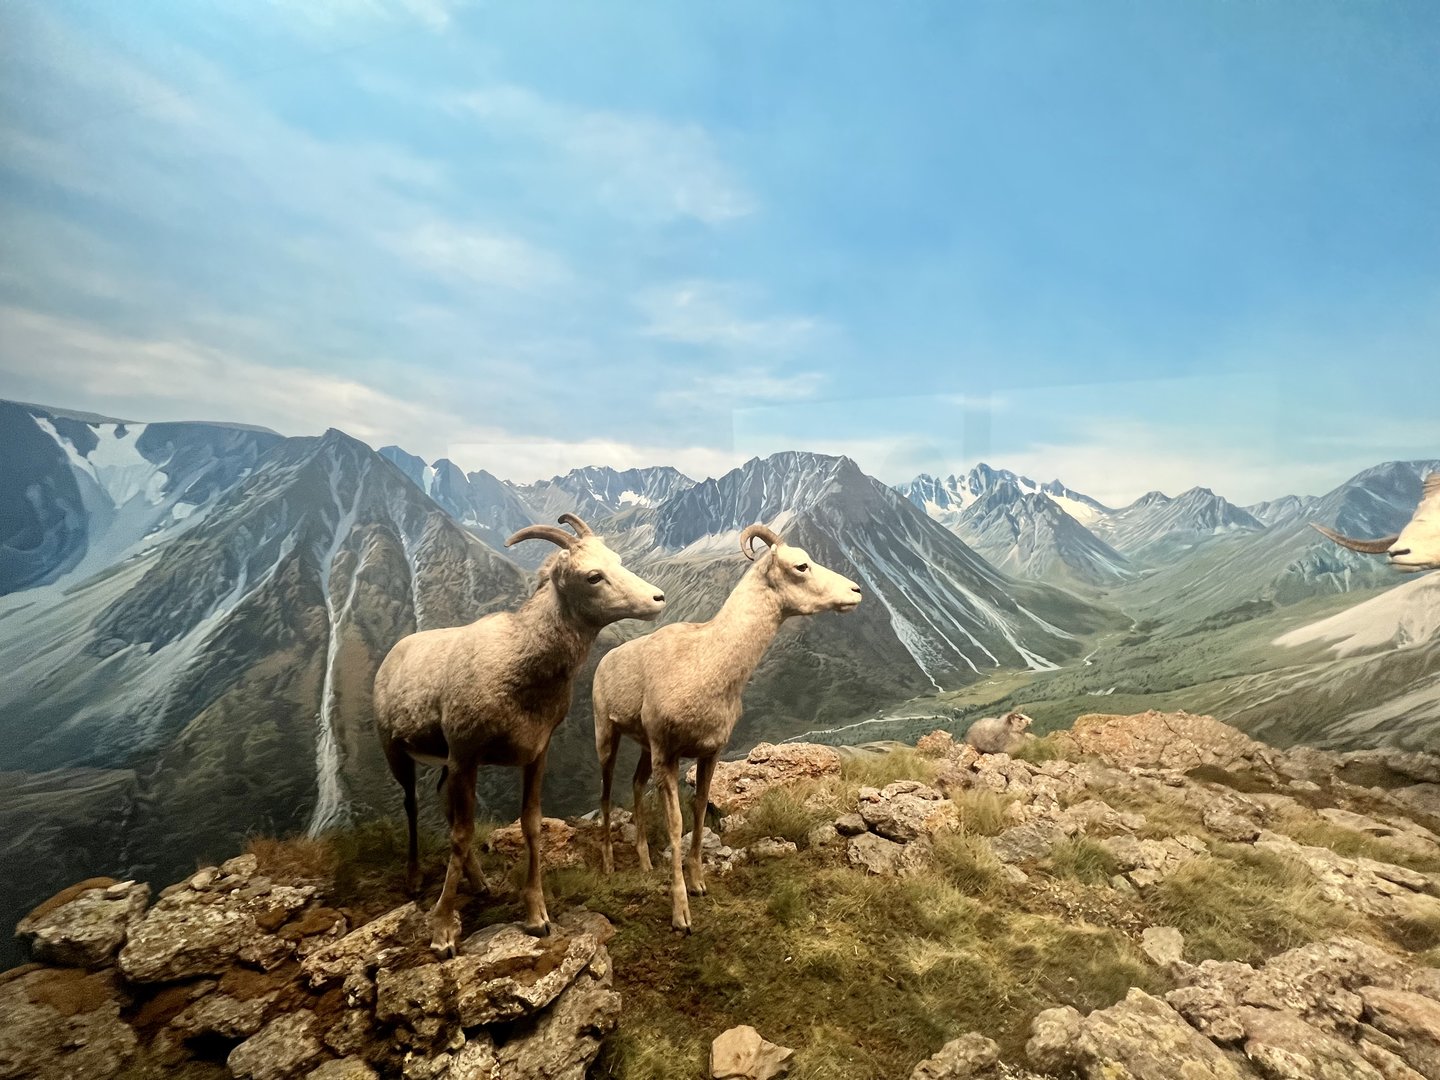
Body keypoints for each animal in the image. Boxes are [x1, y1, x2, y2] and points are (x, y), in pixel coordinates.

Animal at [373, 513, 666, 955]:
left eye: (617, 559)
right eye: (592, 576)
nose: (657, 599)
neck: (516, 666)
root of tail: (393, 654)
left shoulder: (534, 755)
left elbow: (529, 824)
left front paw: (537, 917)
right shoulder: (466, 755)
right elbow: (461, 833)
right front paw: (442, 934)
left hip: (445, 764)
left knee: (442, 803)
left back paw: (479, 883)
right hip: (397, 751)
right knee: (412, 805)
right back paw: (414, 879)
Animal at [592, 523, 862, 932]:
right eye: (801, 565)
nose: (856, 591)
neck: (706, 664)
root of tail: (604, 661)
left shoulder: (708, 753)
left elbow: (701, 810)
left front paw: (699, 884)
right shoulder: (667, 755)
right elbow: (675, 824)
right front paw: (681, 916)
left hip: (642, 747)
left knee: (635, 785)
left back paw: (644, 863)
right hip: (607, 736)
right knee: (606, 793)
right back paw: (608, 865)